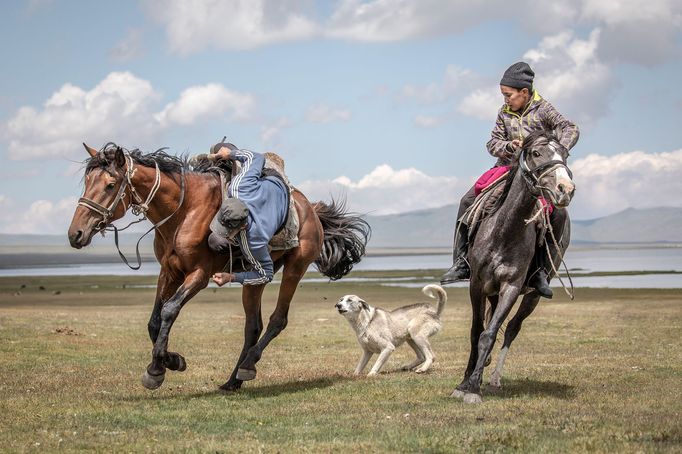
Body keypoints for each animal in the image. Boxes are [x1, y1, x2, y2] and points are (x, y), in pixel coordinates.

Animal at [66, 143, 370, 390]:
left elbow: (169, 310)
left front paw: (157, 369)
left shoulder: (199, 275)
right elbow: (154, 321)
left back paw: (248, 366)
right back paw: (233, 380)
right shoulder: (169, 271)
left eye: (110, 184)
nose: (75, 234)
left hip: (295, 268)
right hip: (255, 279)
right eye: (87, 182)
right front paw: (171, 362)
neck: (184, 210)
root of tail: (312, 210)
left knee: (277, 320)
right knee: (253, 326)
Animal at [452, 130, 572, 404]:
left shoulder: (512, 287)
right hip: (491, 290)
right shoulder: (477, 285)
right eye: (536, 153)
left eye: (565, 153)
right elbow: (476, 331)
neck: (505, 230)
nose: (566, 189)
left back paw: (494, 377)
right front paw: (464, 383)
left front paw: (473, 387)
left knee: (512, 329)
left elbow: (490, 334)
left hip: (532, 294)